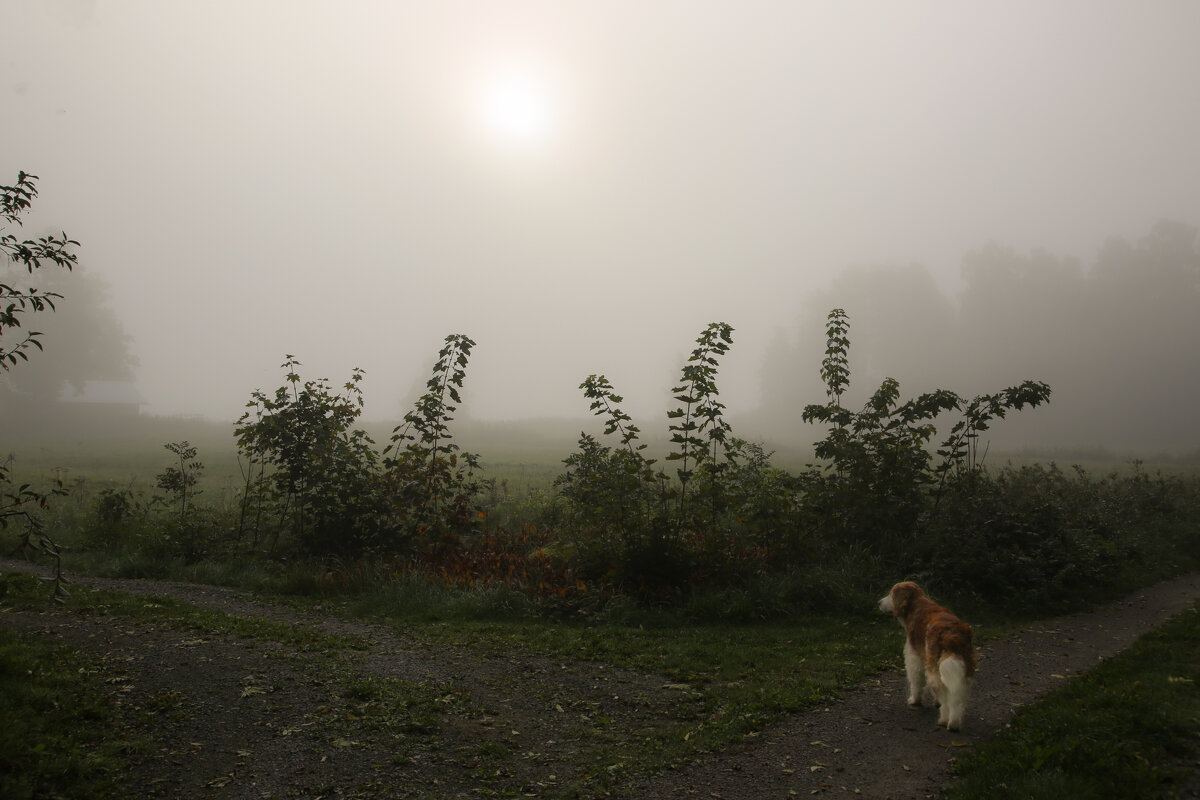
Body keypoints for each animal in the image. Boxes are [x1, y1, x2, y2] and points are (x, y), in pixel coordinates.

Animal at [878, 582, 979, 734]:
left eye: (891, 594)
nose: (879, 603)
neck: (917, 604)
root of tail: (952, 636)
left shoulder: (914, 657)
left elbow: (916, 681)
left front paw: (914, 700)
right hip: (965, 672)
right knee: (956, 699)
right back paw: (954, 723)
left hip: (935, 672)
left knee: (946, 699)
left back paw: (944, 720)